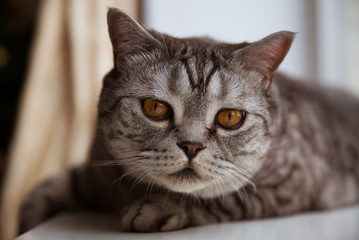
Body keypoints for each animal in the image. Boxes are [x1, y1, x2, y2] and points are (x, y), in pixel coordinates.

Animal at [19, 8, 359, 233]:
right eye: (155, 108)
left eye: (230, 117)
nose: (191, 146)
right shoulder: (94, 170)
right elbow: (39, 195)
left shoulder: (292, 184)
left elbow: (226, 198)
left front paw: (158, 208)